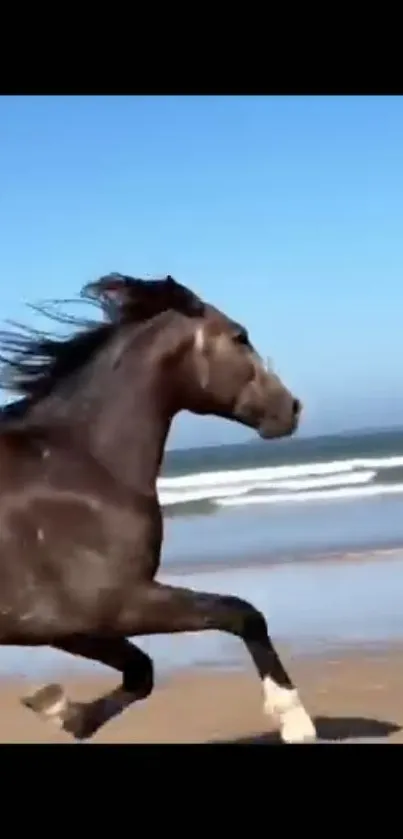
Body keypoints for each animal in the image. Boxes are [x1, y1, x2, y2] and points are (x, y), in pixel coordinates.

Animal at [0, 274, 318, 740]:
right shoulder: (115, 604)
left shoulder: (66, 625)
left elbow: (141, 671)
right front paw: (295, 719)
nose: (291, 407)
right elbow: (242, 613)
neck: (81, 467)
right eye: (239, 336)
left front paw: (65, 712)